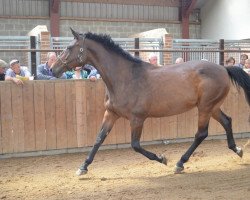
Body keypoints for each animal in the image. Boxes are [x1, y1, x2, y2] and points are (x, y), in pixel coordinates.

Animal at [51, 28, 249, 175]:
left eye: (69, 47)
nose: (54, 69)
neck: (125, 78)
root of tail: (224, 68)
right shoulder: (111, 113)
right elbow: (99, 138)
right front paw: (83, 167)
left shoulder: (137, 119)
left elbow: (135, 145)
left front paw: (162, 159)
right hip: (211, 107)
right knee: (227, 121)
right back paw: (238, 150)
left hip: (205, 107)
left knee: (201, 133)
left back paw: (180, 163)